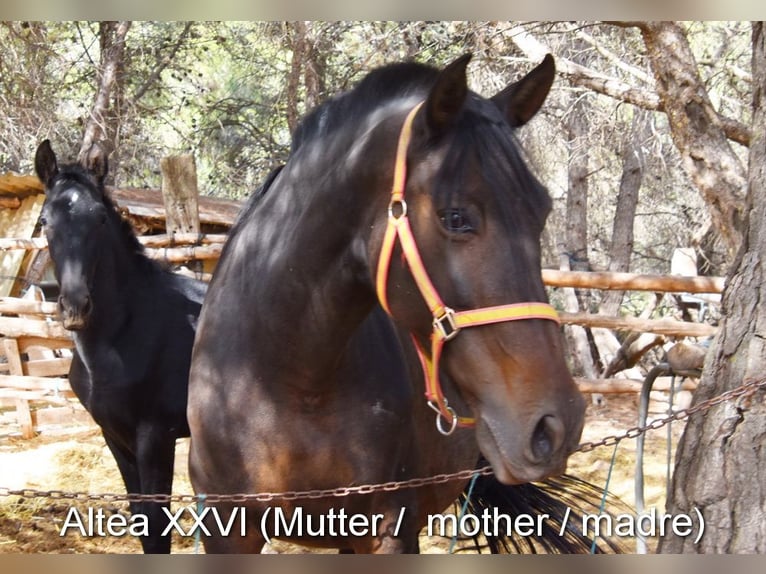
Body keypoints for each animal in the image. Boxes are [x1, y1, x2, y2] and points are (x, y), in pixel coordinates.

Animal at [34, 140, 208, 553]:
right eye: (45, 221)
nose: (75, 306)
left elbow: (157, 528)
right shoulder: (115, 437)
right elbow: (142, 522)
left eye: (99, 218)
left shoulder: (156, 437)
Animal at [187, 54, 598, 554]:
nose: (556, 426)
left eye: (540, 212)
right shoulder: (226, 530)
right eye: (455, 217)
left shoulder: (388, 529)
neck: (285, 383)